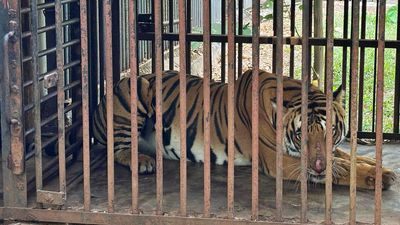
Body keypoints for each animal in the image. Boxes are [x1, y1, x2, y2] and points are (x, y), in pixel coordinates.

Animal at [93, 69, 396, 189]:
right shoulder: (280, 160)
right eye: (300, 135)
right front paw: (377, 178)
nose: (318, 167)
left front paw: (380, 167)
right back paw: (142, 162)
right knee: (117, 150)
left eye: (330, 130)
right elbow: (342, 169)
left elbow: (346, 156)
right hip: (134, 90)